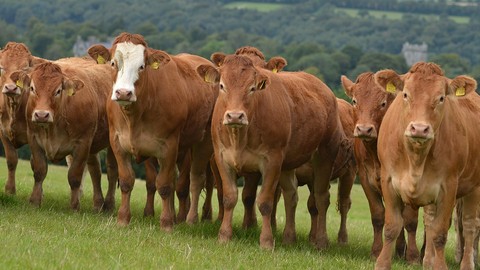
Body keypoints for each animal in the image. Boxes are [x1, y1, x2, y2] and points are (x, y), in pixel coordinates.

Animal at [12, 58, 117, 212]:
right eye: (32, 88)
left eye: (58, 91)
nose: (41, 115)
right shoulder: (34, 139)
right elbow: (39, 171)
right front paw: (34, 201)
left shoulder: (83, 143)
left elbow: (74, 176)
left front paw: (74, 207)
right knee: (96, 172)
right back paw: (98, 204)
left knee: (111, 173)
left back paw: (109, 205)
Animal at [87, 32, 217, 230]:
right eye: (113, 63)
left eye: (141, 66)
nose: (123, 93)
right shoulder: (119, 143)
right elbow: (128, 181)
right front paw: (123, 219)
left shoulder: (169, 146)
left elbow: (164, 185)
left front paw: (167, 223)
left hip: (201, 143)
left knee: (194, 180)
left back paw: (188, 218)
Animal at [197, 52, 346, 249]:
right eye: (222, 86)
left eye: (252, 88)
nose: (235, 116)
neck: (240, 137)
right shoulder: (222, 158)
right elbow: (229, 198)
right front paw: (224, 236)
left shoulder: (272, 161)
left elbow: (265, 202)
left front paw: (266, 241)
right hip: (288, 163)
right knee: (291, 196)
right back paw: (289, 237)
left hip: (325, 155)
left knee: (322, 198)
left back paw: (321, 241)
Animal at [374, 62, 480, 268]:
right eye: (405, 94)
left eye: (441, 98)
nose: (420, 128)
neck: (416, 157)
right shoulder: (388, 180)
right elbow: (392, 227)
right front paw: (382, 264)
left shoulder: (449, 187)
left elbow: (440, 234)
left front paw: (440, 266)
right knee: (430, 221)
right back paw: (428, 260)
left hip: (475, 188)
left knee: (470, 225)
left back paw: (466, 264)